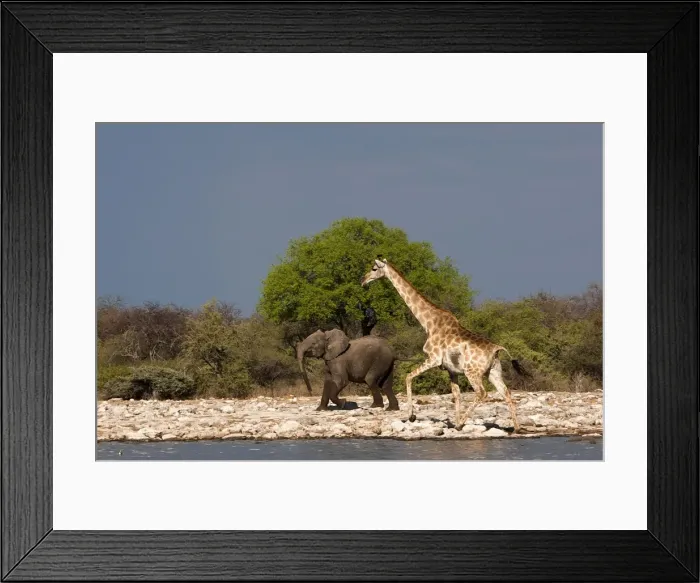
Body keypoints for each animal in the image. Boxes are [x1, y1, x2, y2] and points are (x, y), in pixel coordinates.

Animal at [361, 257, 523, 433]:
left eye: (374, 268)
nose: (363, 280)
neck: (429, 324)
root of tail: (496, 349)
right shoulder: (451, 370)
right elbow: (456, 395)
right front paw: (452, 421)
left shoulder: (434, 358)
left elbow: (408, 376)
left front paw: (411, 416)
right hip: (493, 372)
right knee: (506, 393)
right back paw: (516, 428)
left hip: (473, 372)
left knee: (482, 393)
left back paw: (461, 424)